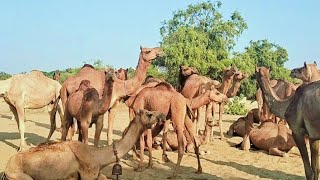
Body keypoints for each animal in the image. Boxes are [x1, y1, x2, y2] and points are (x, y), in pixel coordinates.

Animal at [2, 109, 166, 179]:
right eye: (149, 114)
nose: (163, 115)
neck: (98, 156)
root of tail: (5, 169)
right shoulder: (88, 174)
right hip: (20, 176)